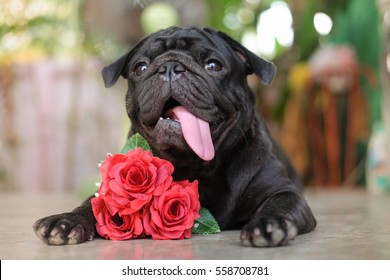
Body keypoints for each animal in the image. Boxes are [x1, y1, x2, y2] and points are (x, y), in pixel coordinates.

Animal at [33, 27, 316, 247]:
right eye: (141, 67)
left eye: (213, 65)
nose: (170, 66)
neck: (195, 166)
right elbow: (91, 205)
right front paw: (67, 220)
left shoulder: (283, 192)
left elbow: (280, 205)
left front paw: (270, 224)